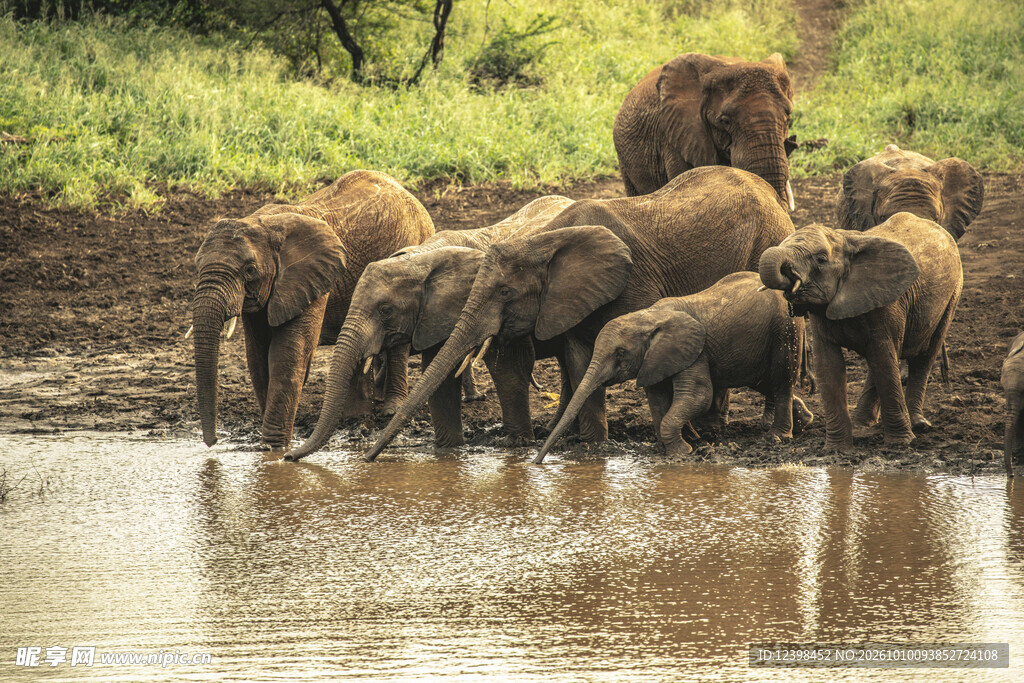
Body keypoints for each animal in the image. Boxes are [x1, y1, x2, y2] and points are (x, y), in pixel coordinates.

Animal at [191, 170, 434, 451]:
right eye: (197, 266)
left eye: (250, 270)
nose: (212, 443)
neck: (262, 224)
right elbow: (257, 357)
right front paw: (268, 448)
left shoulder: (312, 279)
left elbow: (288, 355)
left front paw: (274, 449)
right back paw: (354, 418)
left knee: (397, 344)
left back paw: (389, 410)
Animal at [535, 272, 813, 463]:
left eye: (620, 353)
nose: (537, 462)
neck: (647, 316)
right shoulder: (655, 359)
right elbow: (658, 401)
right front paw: (674, 448)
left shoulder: (694, 352)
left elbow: (699, 395)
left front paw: (682, 453)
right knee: (762, 380)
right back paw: (805, 421)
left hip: (785, 329)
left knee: (781, 381)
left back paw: (778, 436)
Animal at [758, 214, 963, 450]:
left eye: (821, 260)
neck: (846, 240)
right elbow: (828, 365)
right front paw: (837, 449)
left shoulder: (887, 301)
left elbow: (884, 359)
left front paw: (901, 443)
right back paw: (861, 426)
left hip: (953, 294)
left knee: (924, 356)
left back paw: (918, 425)